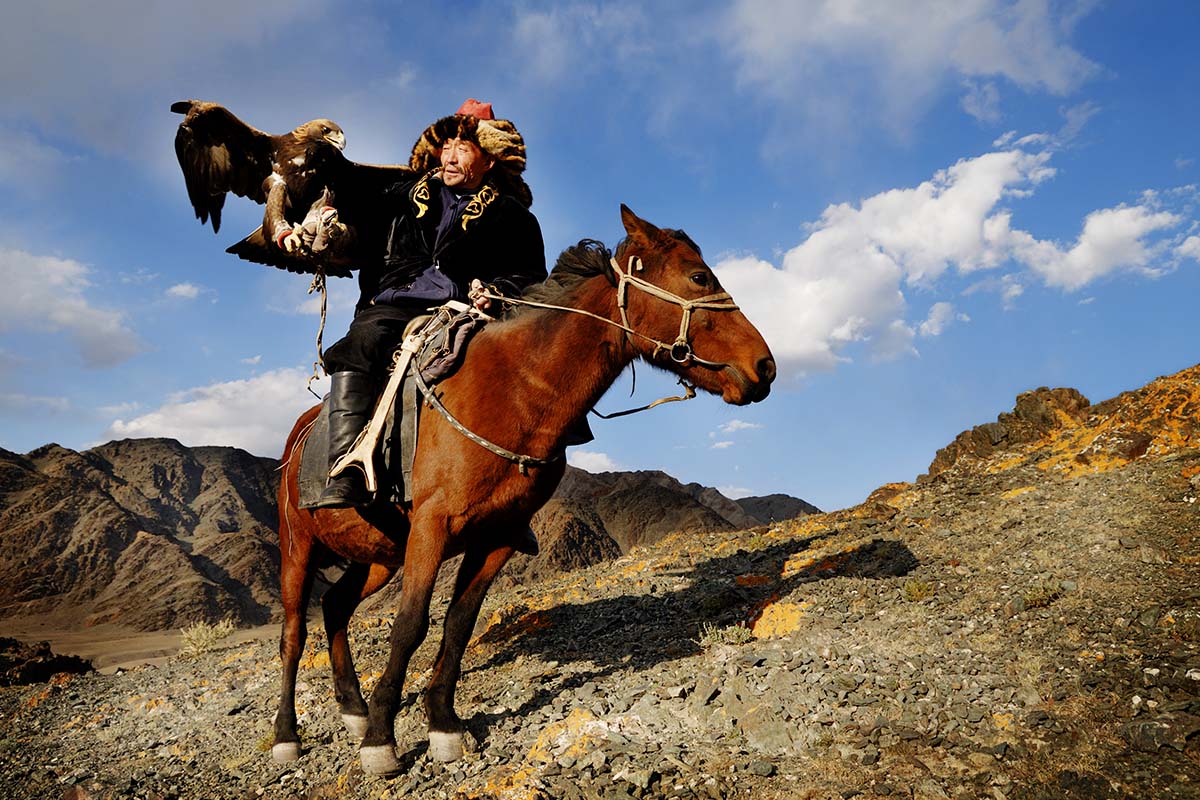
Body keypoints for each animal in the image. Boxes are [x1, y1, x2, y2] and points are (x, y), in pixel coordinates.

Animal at [272, 206, 777, 777]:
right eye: (698, 277)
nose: (764, 366)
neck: (514, 390)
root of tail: (298, 438)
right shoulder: (432, 526)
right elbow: (410, 625)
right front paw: (382, 740)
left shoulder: (498, 536)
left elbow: (458, 623)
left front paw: (442, 725)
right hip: (299, 548)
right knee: (294, 634)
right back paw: (288, 735)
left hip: (378, 553)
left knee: (336, 606)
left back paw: (353, 710)